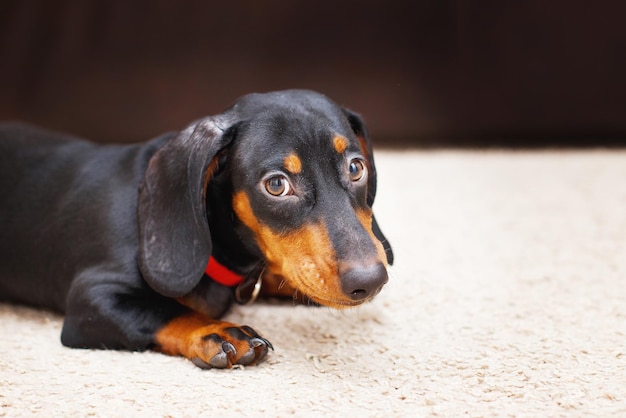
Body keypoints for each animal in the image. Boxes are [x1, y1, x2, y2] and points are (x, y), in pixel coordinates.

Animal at [0, 90, 390, 370]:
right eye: (277, 185)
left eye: (356, 167)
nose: (370, 280)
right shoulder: (92, 299)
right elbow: (164, 311)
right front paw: (215, 331)